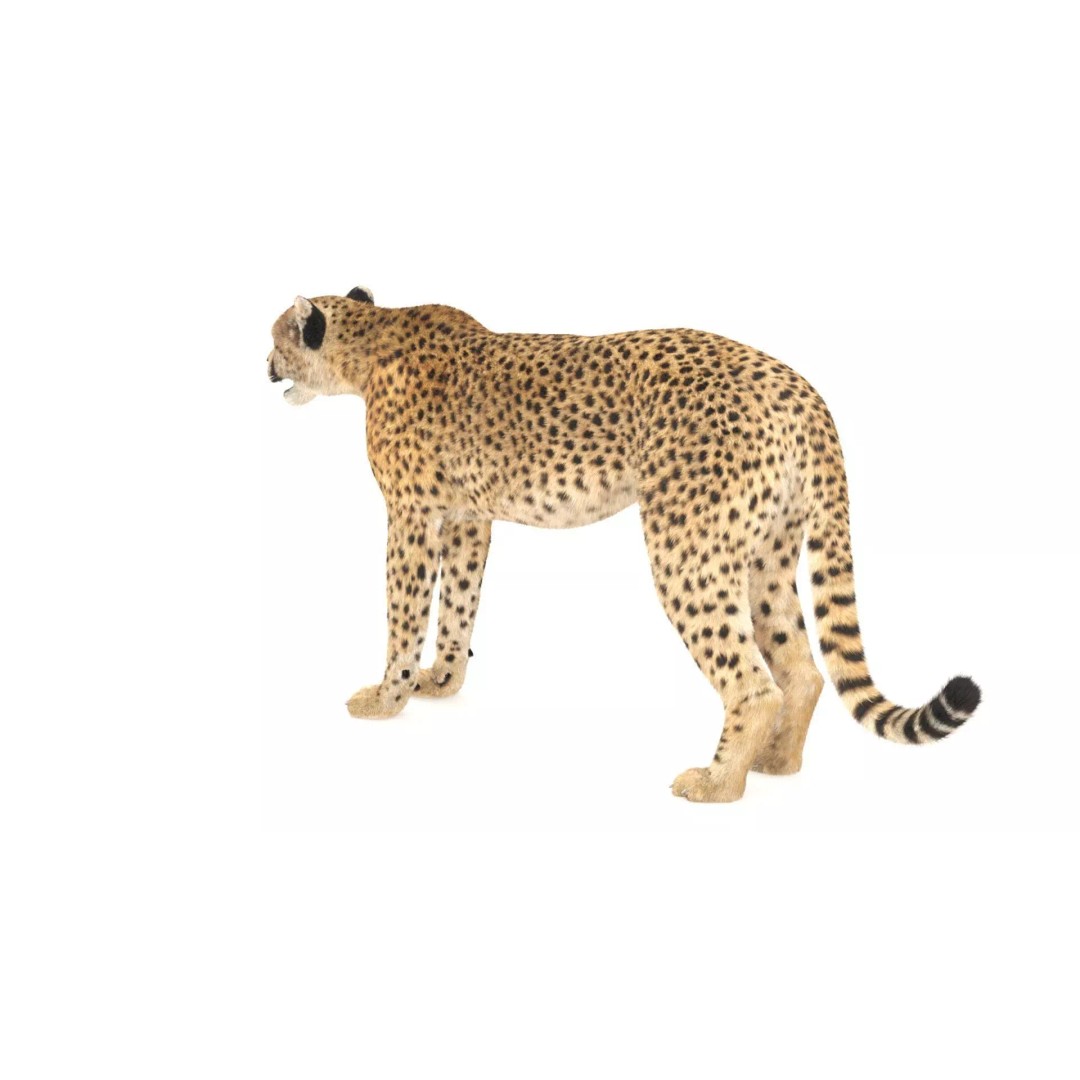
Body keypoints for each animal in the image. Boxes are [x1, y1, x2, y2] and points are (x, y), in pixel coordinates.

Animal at [266, 287, 981, 802]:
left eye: (276, 340)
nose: (264, 366)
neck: (369, 341)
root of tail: (795, 384)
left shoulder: (412, 517)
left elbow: (405, 611)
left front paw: (387, 696)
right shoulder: (470, 519)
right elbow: (460, 604)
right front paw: (440, 681)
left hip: (687, 547)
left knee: (754, 681)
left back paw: (718, 783)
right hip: (767, 551)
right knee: (801, 668)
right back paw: (777, 761)